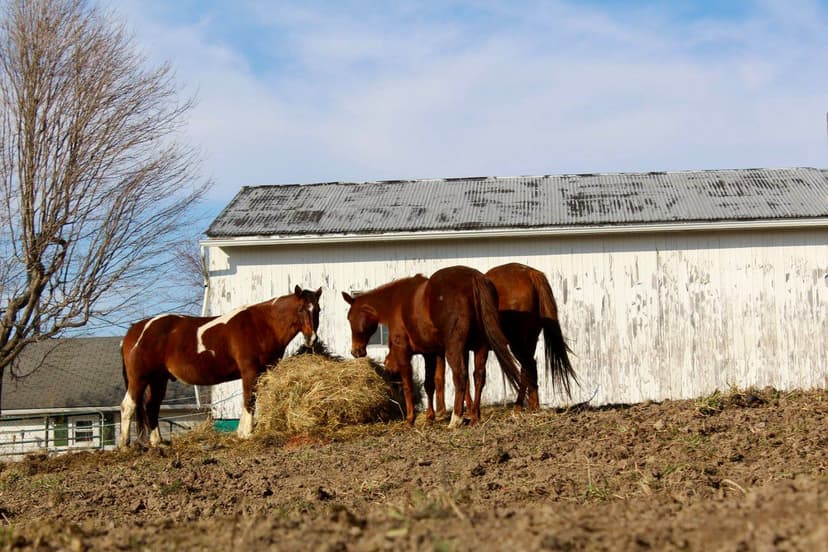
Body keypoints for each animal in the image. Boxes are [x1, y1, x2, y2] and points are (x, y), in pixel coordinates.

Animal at [119, 286, 322, 447]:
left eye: (318, 310)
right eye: (301, 309)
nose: (311, 339)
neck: (261, 325)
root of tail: (135, 329)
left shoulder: (263, 373)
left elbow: (254, 400)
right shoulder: (249, 372)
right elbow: (248, 400)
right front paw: (246, 433)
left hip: (158, 379)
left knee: (152, 406)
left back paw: (157, 442)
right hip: (139, 379)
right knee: (128, 406)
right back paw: (124, 445)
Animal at [342, 265, 522, 427]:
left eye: (350, 318)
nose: (356, 351)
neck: (397, 302)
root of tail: (474, 278)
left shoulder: (403, 351)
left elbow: (408, 385)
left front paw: (410, 420)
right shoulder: (429, 353)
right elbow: (429, 384)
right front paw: (429, 418)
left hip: (454, 350)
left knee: (460, 377)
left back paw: (456, 419)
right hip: (480, 347)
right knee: (479, 377)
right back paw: (474, 418)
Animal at [433, 262, 576, 416]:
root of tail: (530, 273)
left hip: (517, 343)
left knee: (528, 367)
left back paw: (521, 406)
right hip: (529, 340)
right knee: (528, 368)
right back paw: (531, 406)